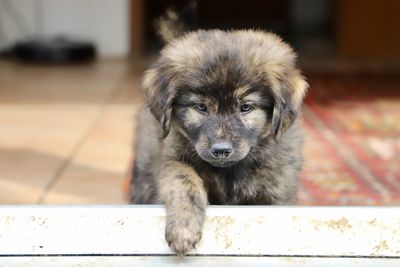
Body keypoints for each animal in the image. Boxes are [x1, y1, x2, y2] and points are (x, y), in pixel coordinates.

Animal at [130, 20, 308, 255]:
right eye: (201, 107)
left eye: (246, 107)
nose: (221, 150)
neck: (229, 172)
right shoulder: (171, 159)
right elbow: (184, 181)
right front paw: (183, 229)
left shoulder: (277, 191)